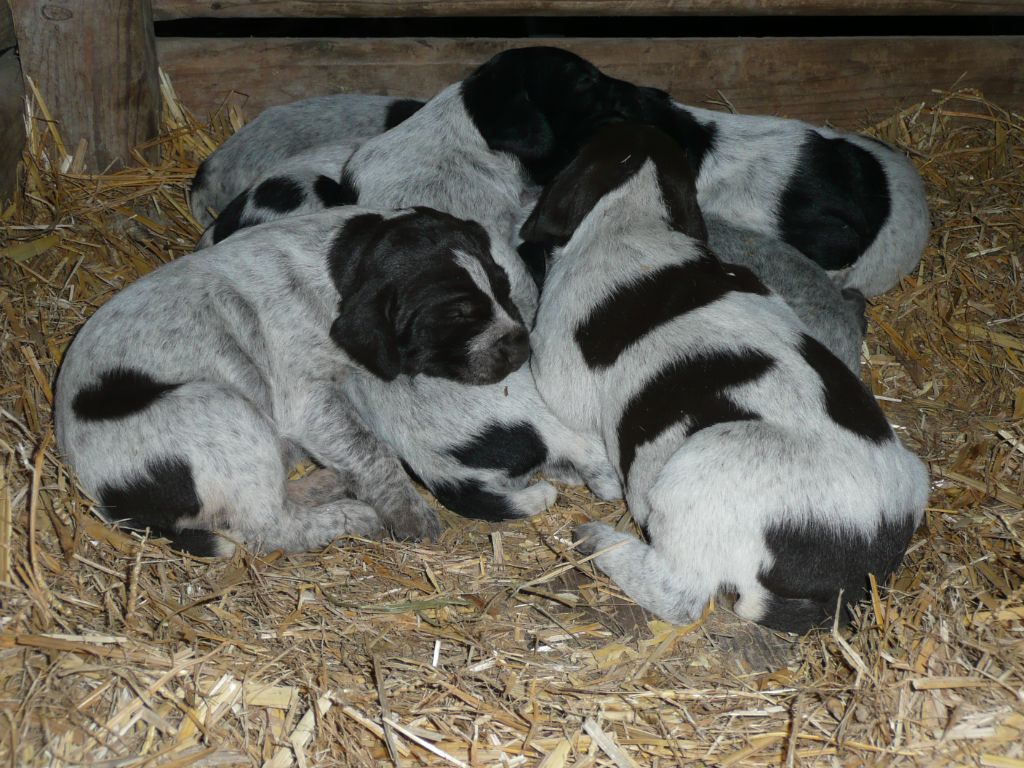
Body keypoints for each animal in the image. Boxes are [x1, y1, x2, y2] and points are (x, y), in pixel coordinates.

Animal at [55, 208, 528, 561]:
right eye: (458, 315)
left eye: (504, 288)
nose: (522, 345)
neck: (339, 267)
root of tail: (112, 502)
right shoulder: (307, 398)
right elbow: (373, 451)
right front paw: (410, 514)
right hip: (223, 410)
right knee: (270, 527)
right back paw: (354, 516)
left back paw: (327, 483)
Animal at [524, 123, 933, 634]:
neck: (635, 220)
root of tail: (865, 551)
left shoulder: (555, 374)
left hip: (695, 470)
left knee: (679, 595)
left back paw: (597, 540)